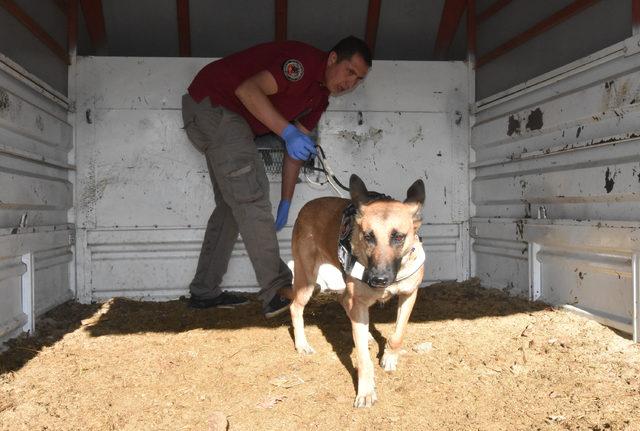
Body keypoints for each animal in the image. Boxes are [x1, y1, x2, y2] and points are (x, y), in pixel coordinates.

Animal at [290, 174, 424, 406]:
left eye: (398, 237)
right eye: (368, 236)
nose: (378, 279)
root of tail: (306, 207)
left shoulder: (409, 294)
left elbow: (397, 334)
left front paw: (389, 357)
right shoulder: (360, 302)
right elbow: (363, 358)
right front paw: (366, 391)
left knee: (344, 301)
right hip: (306, 280)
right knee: (295, 307)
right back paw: (302, 344)